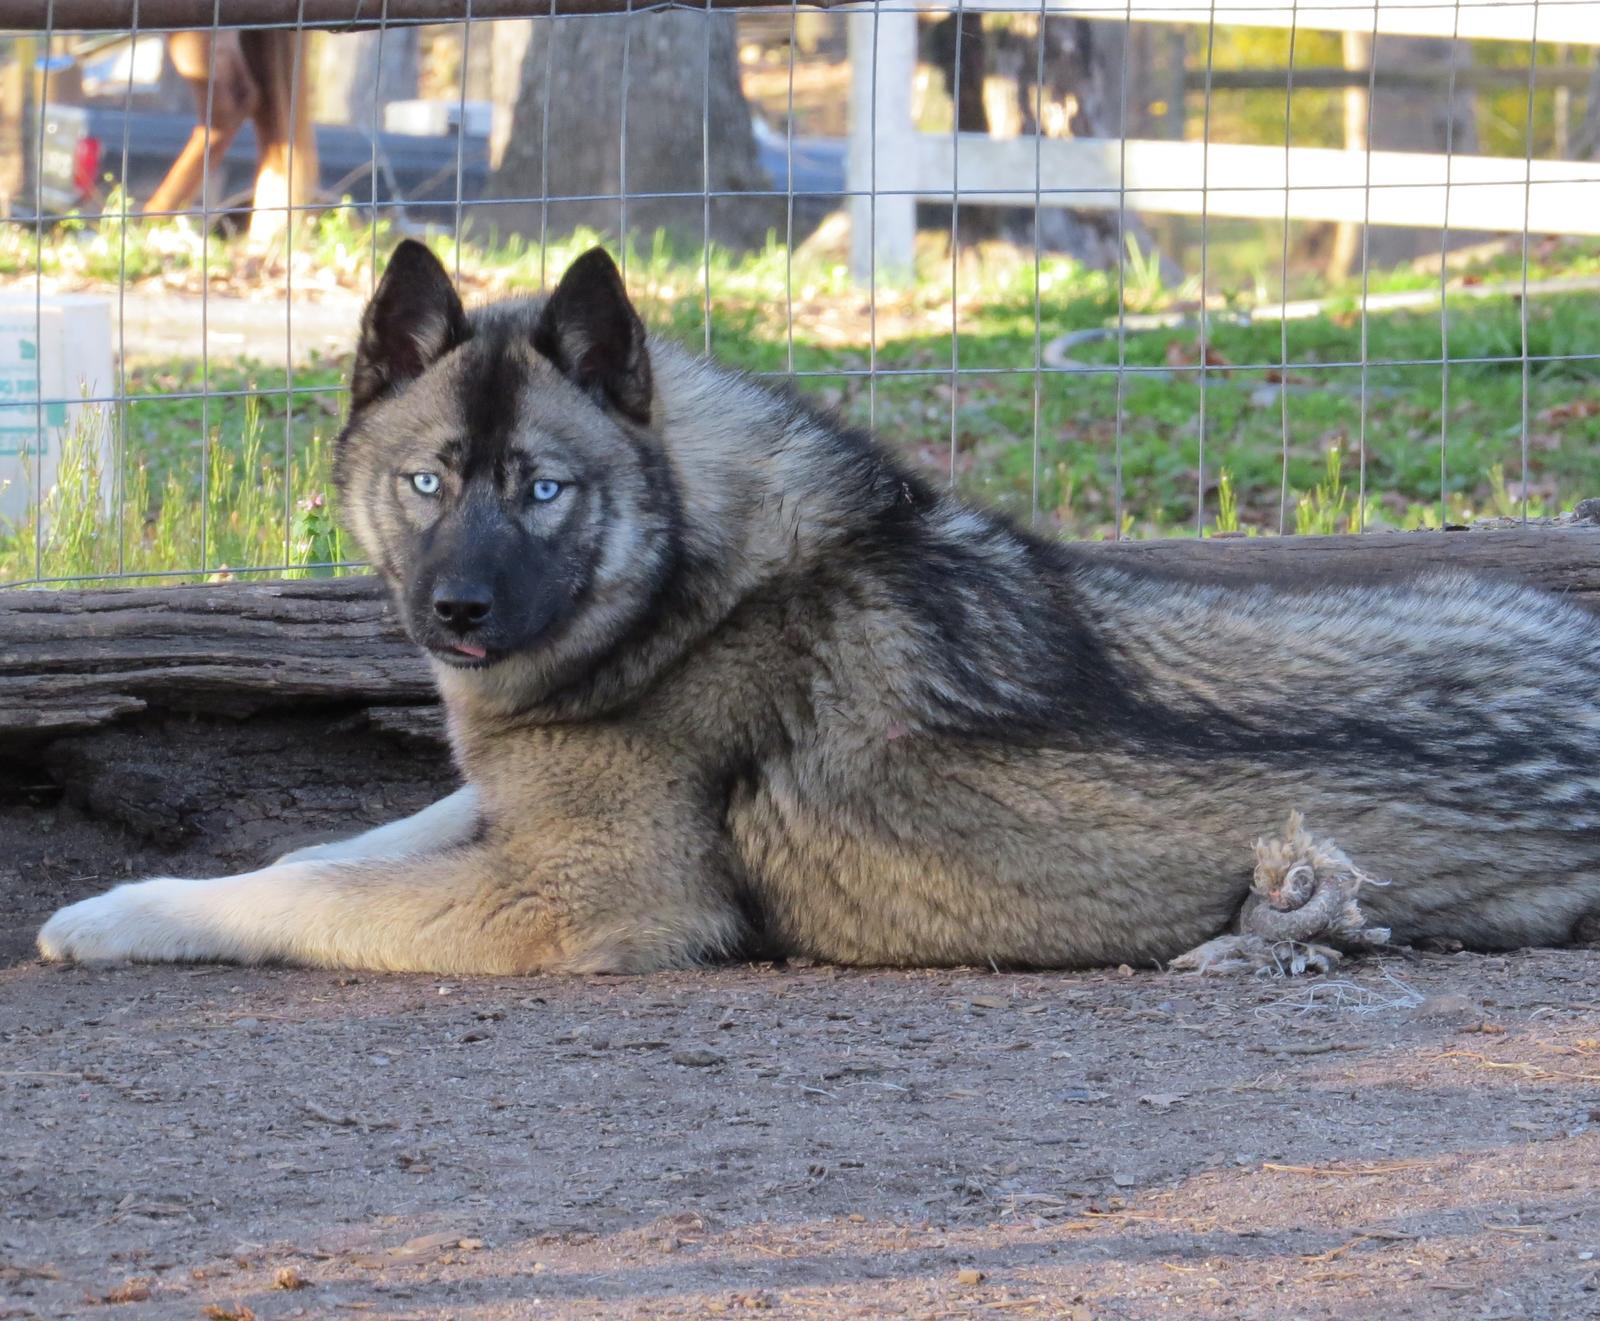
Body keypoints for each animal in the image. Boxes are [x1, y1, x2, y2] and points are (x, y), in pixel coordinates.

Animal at [34, 241, 1600, 972]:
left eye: (541, 489)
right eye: (427, 480)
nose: (457, 612)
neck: (696, 581)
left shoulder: (585, 892)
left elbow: (303, 893)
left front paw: (124, 918)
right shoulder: (514, 799)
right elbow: (345, 843)